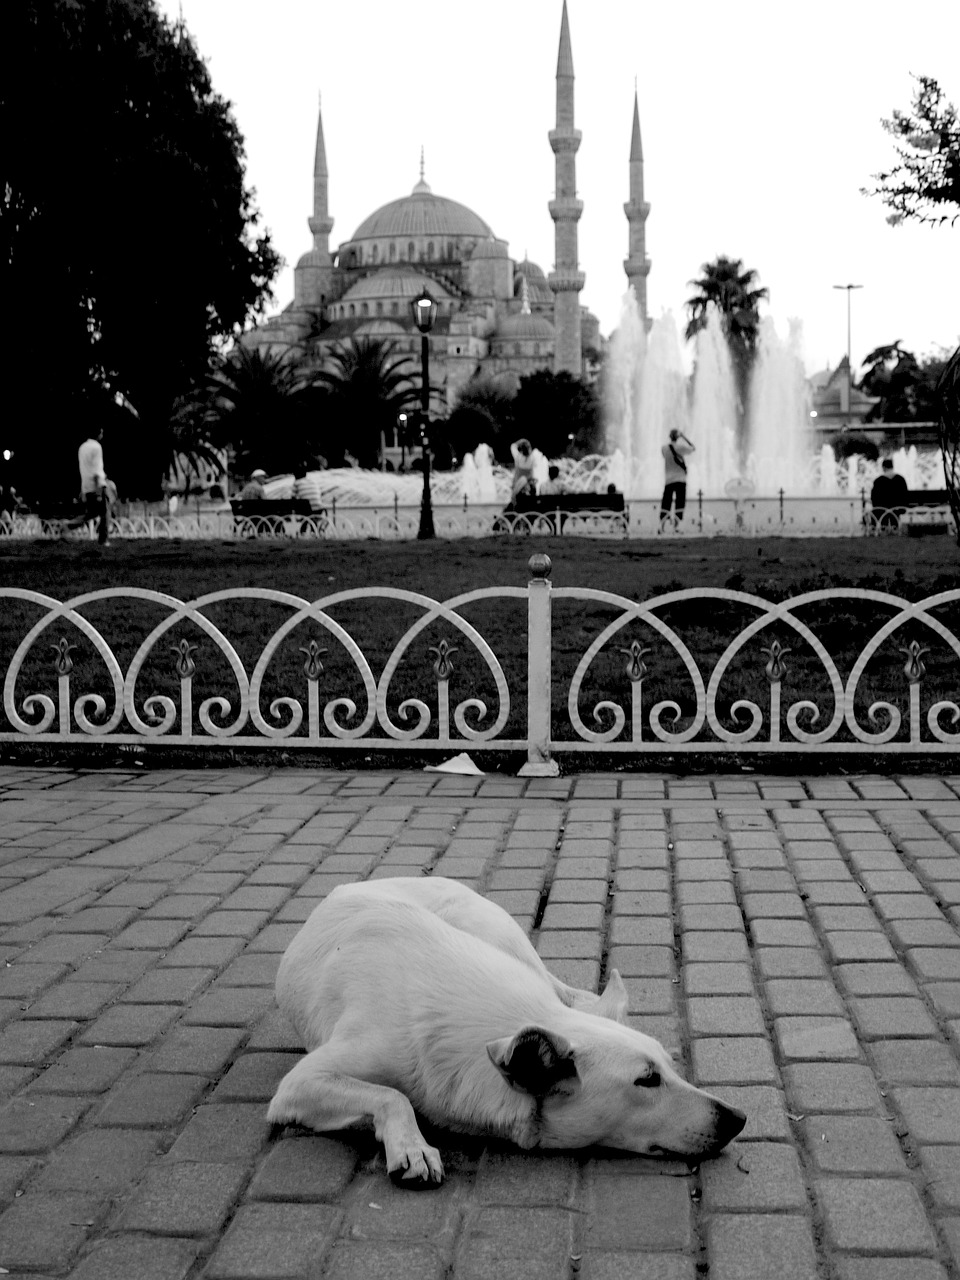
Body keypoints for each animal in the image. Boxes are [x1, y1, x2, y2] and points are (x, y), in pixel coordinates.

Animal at [267, 875, 747, 1182]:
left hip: (497, 933)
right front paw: (411, 1145)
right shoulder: (299, 1084)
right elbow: (392, 1095)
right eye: (646, 1081)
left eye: (669, 1068)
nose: (739, 1118)